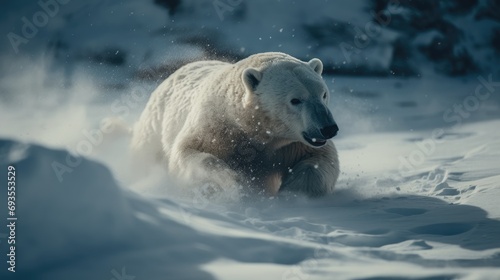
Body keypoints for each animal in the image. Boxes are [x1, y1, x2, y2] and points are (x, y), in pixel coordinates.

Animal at [131, 52, 338, 197]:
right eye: (295, 100)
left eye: (323, 94)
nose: (328, 128)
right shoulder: (215, 128)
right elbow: (189, 152)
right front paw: (233, 183)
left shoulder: (290, 145)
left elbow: (320, 160)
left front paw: (291, 191)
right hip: (155, 125)